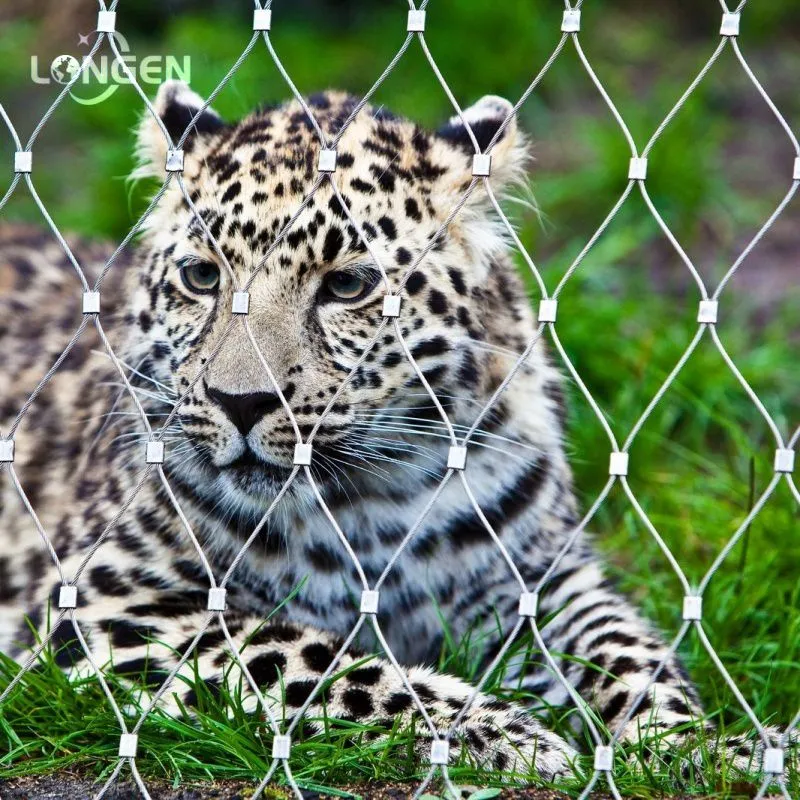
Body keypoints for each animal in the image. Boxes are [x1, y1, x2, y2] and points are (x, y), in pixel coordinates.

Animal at [0, 81, 788, 787]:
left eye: (348, 286)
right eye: (201, 277)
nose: (240, 402)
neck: (368, 499)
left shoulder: (540, 579)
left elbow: (627, 653)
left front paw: (708, 746)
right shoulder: (107, 599)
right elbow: (306, 657)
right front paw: (503, 733)